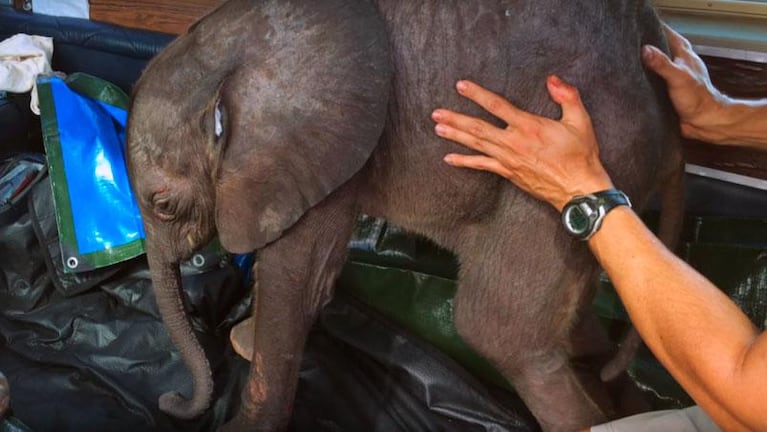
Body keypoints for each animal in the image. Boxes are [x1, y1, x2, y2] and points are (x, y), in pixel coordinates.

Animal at [127, 0, 684, 432]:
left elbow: (297, 285)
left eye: (164, 205)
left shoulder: (323, 146)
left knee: (499, 333)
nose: (170, 400)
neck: (234, 44)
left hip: (576, 151)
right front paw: (245, 342)